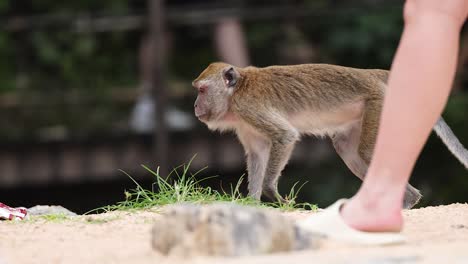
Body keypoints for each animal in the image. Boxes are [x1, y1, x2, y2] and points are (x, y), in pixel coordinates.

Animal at [191, 62, 468, 208]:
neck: (236, 92)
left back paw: (406, 203)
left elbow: (285, 136)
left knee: (365, 153)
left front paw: (272, 192)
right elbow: (258, 154)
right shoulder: (245, 125)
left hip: (379, 102)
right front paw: (252, 202)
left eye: (202, 91)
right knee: (348, 149)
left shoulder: (249, 108)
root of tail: (373, 73)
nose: (194, 106)